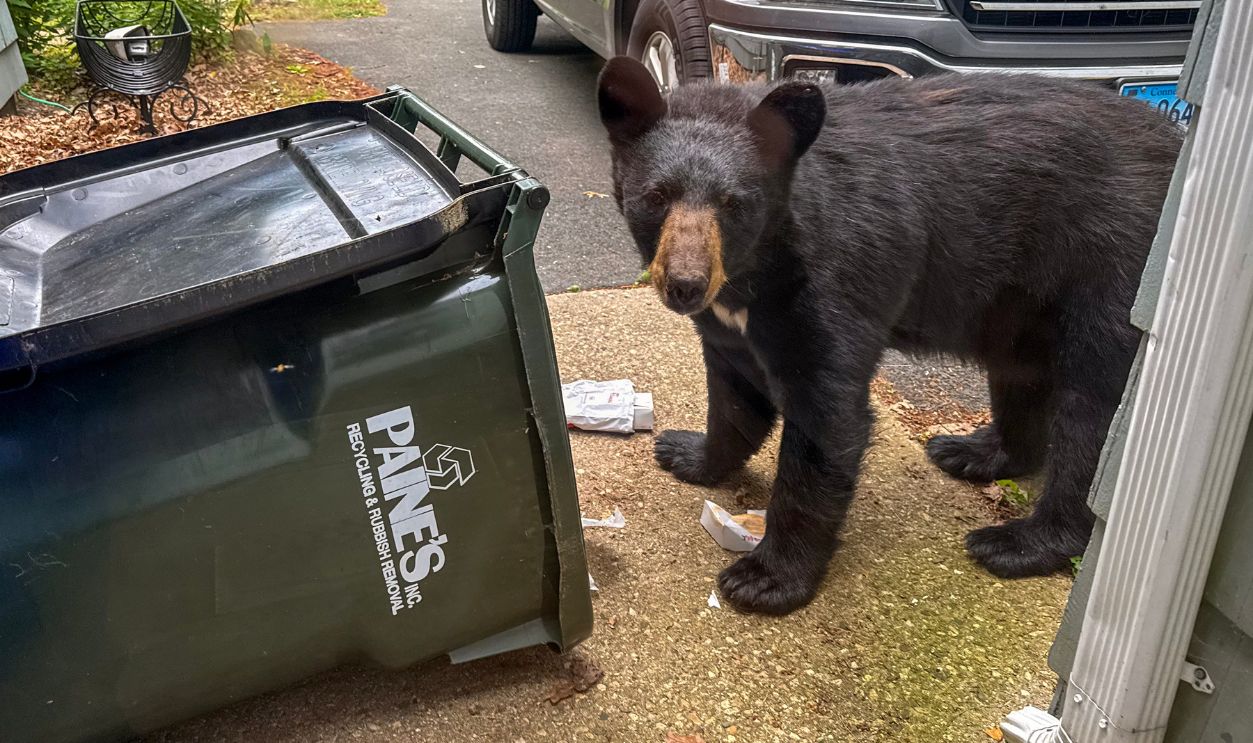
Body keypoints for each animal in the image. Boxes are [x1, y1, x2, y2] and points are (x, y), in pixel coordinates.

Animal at [596, 56, 1182, 615]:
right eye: (657, 196)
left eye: (734, 203)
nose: (686, 285)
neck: (755, 270)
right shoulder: (733, 320)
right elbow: (735, 392)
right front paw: (688, 454)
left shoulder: (836, 274)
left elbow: (827, 416)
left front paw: (766, 579)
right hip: (1018, 302)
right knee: (1020, 372)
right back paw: (974, 452)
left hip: (1112, 263)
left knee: (1093, 418)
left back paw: (1018, 542)